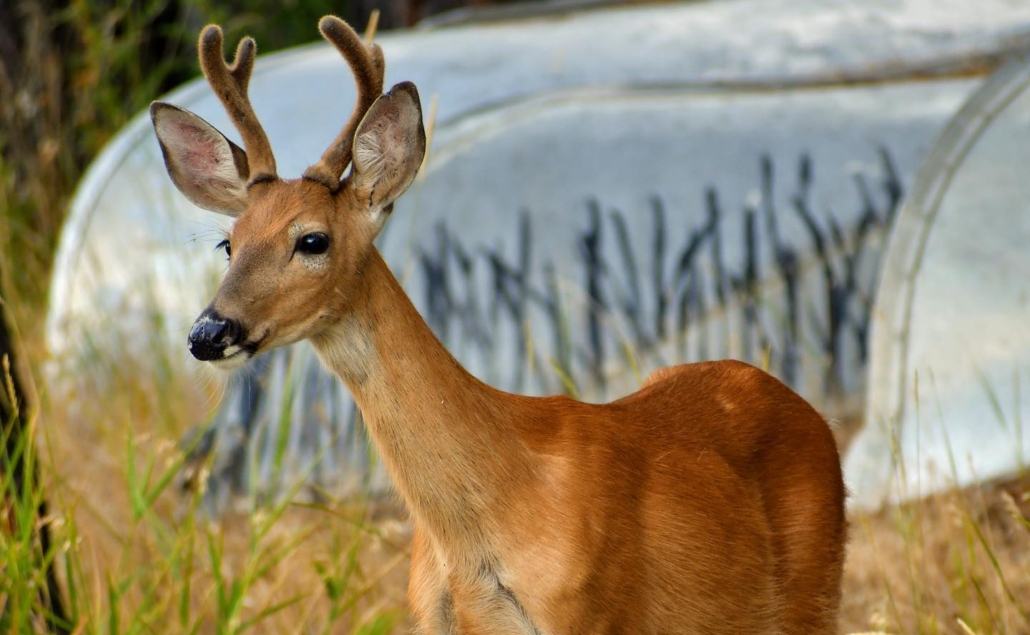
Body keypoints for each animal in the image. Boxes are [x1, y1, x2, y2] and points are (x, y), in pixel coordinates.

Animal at [150, 14, 844, 633]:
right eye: (229, 243)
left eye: (313, 240)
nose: (209, 333)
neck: (479, 530)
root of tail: (813, 416)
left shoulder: (593, 613)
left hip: (814, 597)